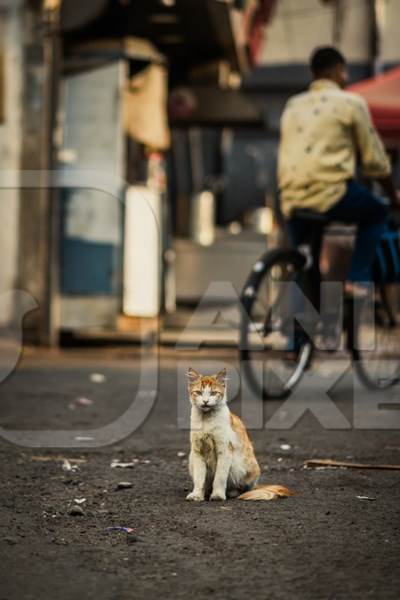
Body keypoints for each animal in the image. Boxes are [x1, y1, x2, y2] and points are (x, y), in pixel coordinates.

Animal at [187, 366, 294, 502]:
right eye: (199, 392)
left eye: (213, 393)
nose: (205, 401)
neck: (206, 421)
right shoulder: (198, 452)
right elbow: (199, 479)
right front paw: (196, 495)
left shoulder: (224, 451)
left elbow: (219, 478)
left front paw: (217, 495)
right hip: (191, 460)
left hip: (240, 467)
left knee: (243, 488)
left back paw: (231, 492)